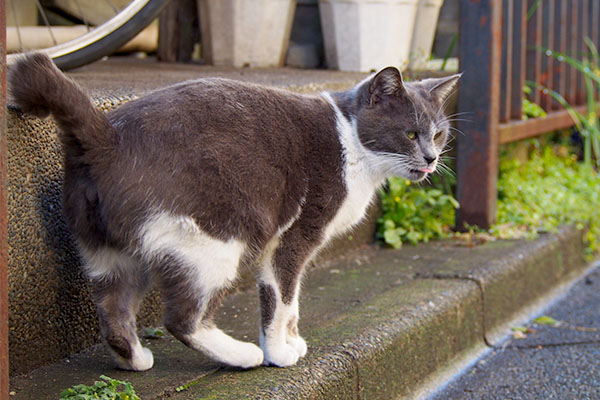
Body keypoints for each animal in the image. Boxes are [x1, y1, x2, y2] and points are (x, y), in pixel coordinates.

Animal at [8, 52, 460, 372]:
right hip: (214, 240)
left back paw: (134, 360)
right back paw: (242, 356)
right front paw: (278, 352)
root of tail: (105, 137)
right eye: (409, 133)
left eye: (439, 134)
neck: (351, 140)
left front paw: (293, 341)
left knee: (113, 308)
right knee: (182, 318)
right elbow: (281, 300)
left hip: (110, 252)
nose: (432, 158)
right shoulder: (294, 238)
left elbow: (291, 301)